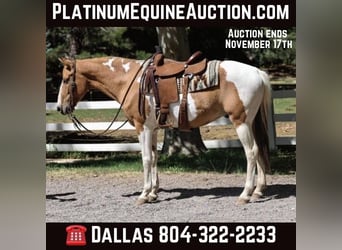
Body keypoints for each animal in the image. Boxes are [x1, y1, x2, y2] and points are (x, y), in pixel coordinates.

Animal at [56, 53, 272, 205]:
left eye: (66, 80)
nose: (60, 107)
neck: (130, 80)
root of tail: (257, 72)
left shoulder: (142, 127)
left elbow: (145, 159)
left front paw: (143, 195)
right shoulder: (153, 129)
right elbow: (154, 157)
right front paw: (153, 193)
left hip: (241, 121)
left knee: (251, 152)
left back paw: (245, 194)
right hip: (251, 122)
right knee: (260, 149)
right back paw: (258, 191)